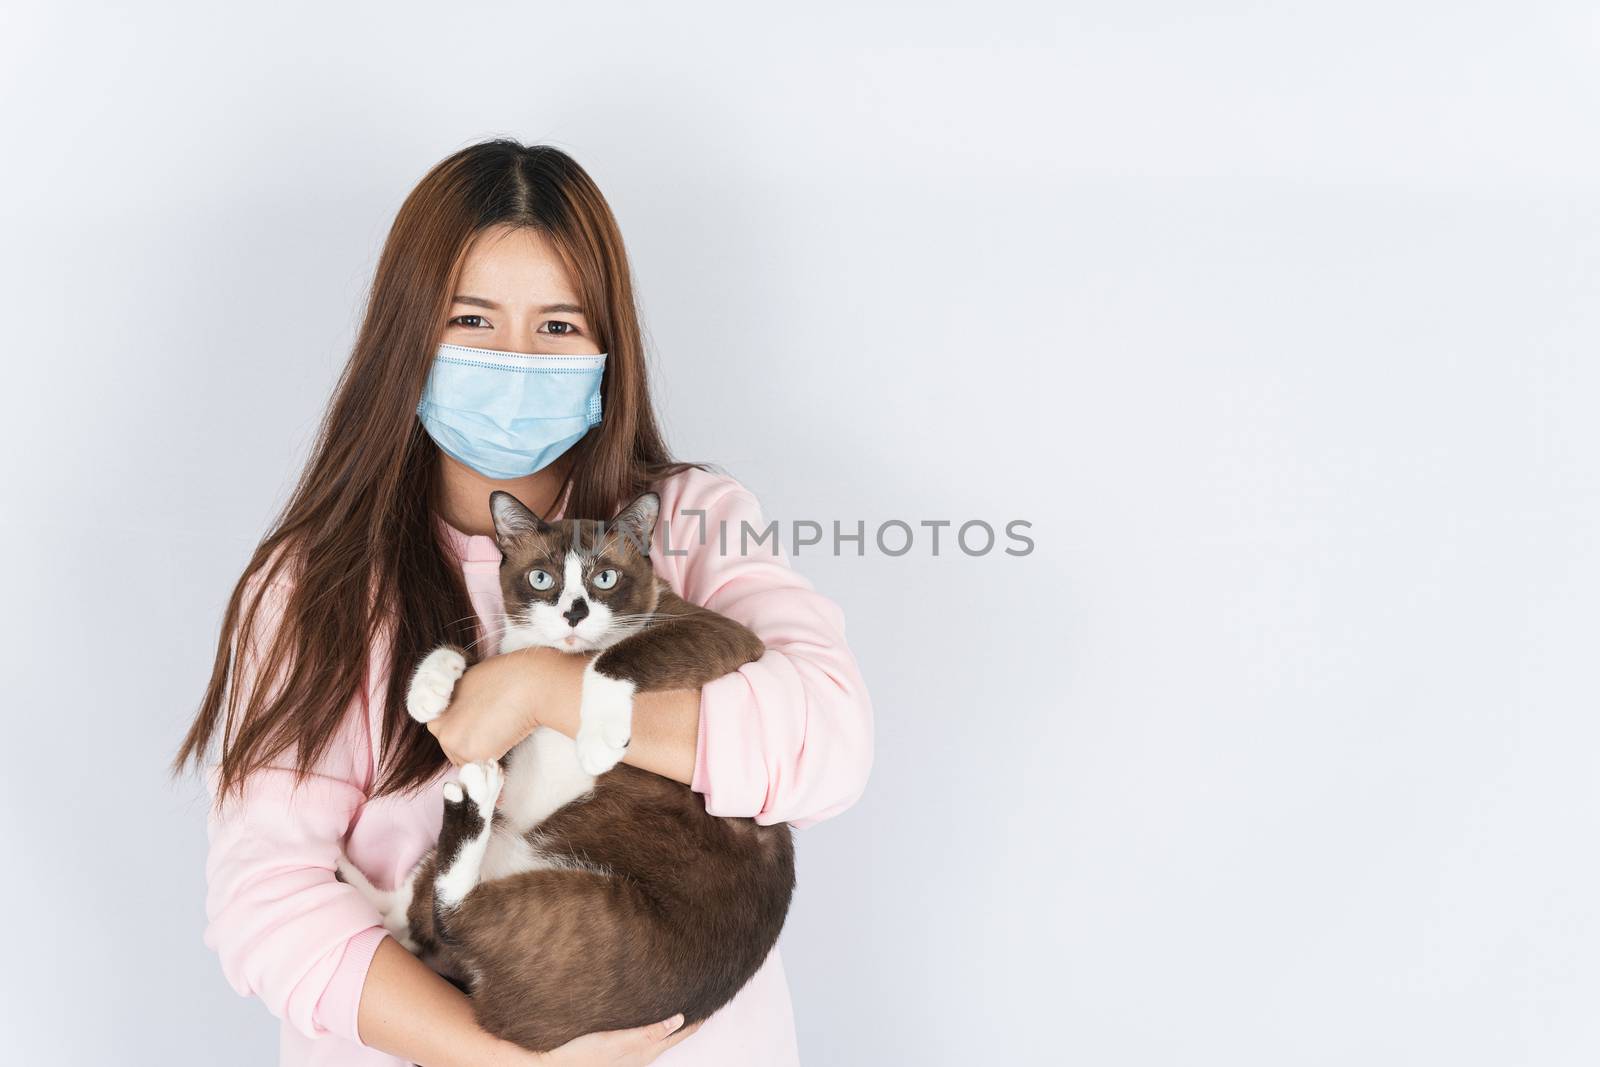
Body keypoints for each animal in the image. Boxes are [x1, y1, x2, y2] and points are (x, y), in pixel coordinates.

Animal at [334, 489, 796, 1049]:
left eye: (605, 579)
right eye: (541, 579)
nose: (574, 612)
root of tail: (494, 1010)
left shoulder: (723, 634)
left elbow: (614, 658)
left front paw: (597, 739)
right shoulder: (512, 734)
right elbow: (476, 654)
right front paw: (428, 689)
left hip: (588, 915)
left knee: (451, 915)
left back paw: (470, 802)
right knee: (410, 916)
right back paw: (353, 868)